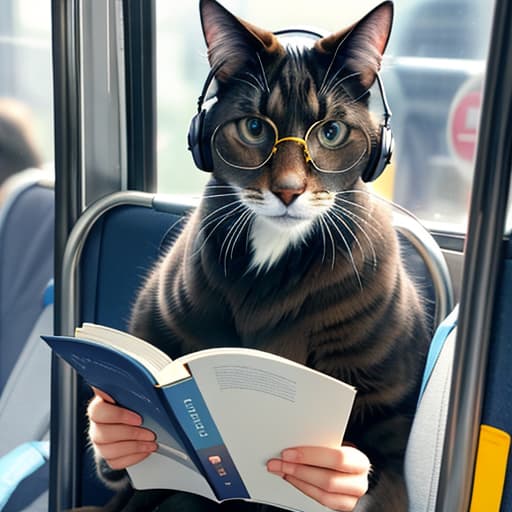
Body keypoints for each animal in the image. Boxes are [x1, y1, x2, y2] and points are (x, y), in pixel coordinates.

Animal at [95, 1, 428, 512]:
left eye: (331, 132)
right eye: (254, 127)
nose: (288, 191)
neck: (275, 247)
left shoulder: (390, 406)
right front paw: (118, 430)